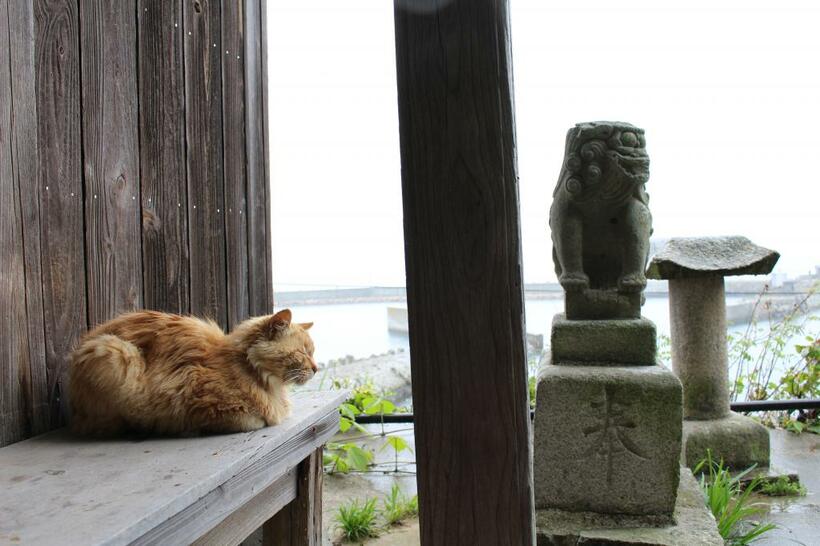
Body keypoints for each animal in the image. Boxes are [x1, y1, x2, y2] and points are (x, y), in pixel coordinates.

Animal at [69, 308, 318, 436]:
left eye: (313, 353)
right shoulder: (198, 400)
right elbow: (252, 420)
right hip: (116, 353)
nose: (316, 369)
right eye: (303, 353)